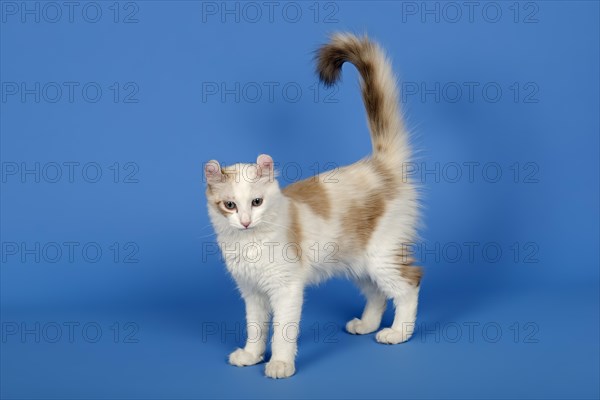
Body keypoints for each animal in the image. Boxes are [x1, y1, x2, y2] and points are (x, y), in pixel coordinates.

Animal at [205, 33, 422, 378]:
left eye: (256, 202)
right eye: (229, 205)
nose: (245, 221)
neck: (249, 243)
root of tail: (377, 164)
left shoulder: (287, 288)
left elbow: (282, 331)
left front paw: (280, 364)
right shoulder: (252, 292)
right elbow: (256, 328)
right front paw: (252, 355)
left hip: (381, 255)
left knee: (409, 285)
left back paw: (397, 333)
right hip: (356, 261)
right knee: (377, 292)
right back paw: (367, 325)